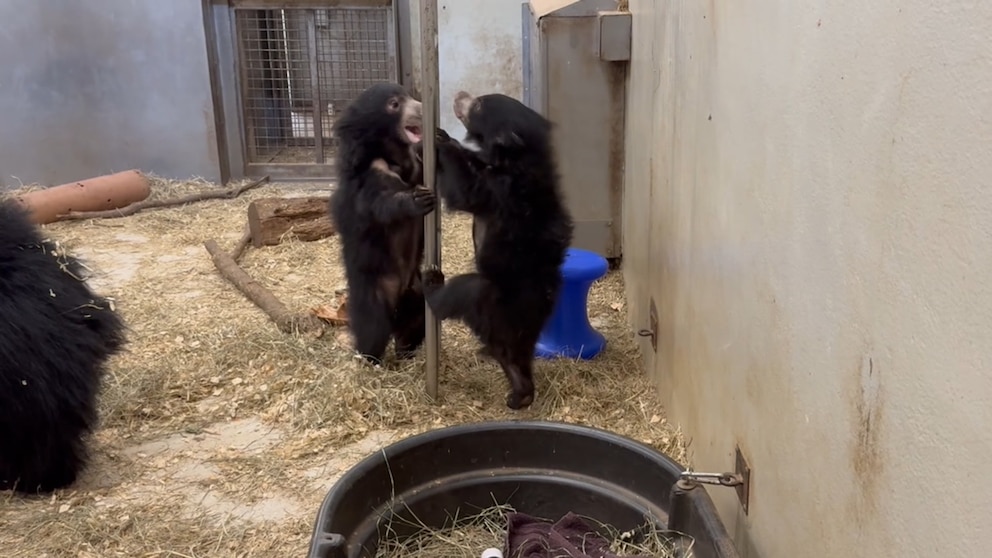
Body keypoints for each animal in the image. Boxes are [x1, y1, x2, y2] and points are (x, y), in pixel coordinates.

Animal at [329, 82, 436, 364]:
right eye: (394, 104)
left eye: (410, 95)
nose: (424, 108)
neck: (395, 155)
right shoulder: (371, 176)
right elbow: (381, 203)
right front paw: (417, 200)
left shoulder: (417, 165)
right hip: (373, 292)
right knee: (372, 329)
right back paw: (369, 359)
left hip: (417, 295)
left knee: (414, 325)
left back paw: (405, 352)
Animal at [417, 90, 574, 409]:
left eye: (478, 105)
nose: (460, 94)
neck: (520, 156)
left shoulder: (501, 191)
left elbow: (465, 191)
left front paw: (441, 139)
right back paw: (520, 390)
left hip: (485, 296)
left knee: (454, 294)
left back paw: (432, 282)